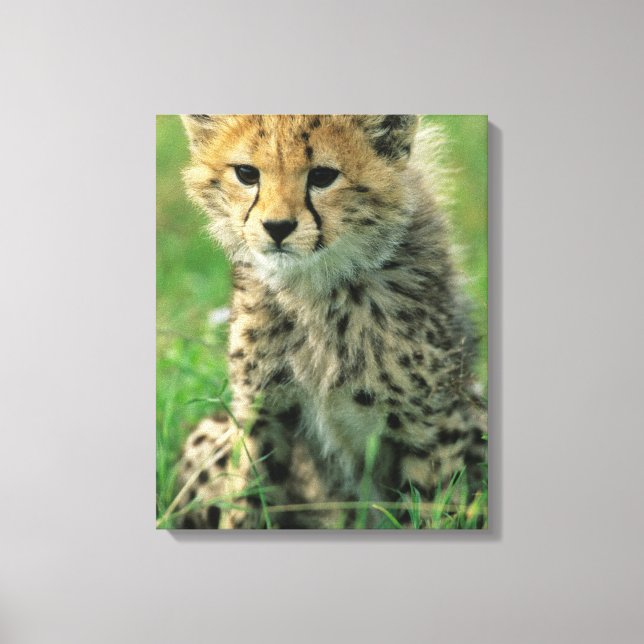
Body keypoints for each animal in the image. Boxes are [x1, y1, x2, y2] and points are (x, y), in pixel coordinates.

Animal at [172, 114, 487, 529]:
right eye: (246, 173)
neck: (314, 289)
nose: (277, 227)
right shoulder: (262, 412)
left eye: (322, 176)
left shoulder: (431, 424)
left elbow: (432, 507)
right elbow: (247, 499)